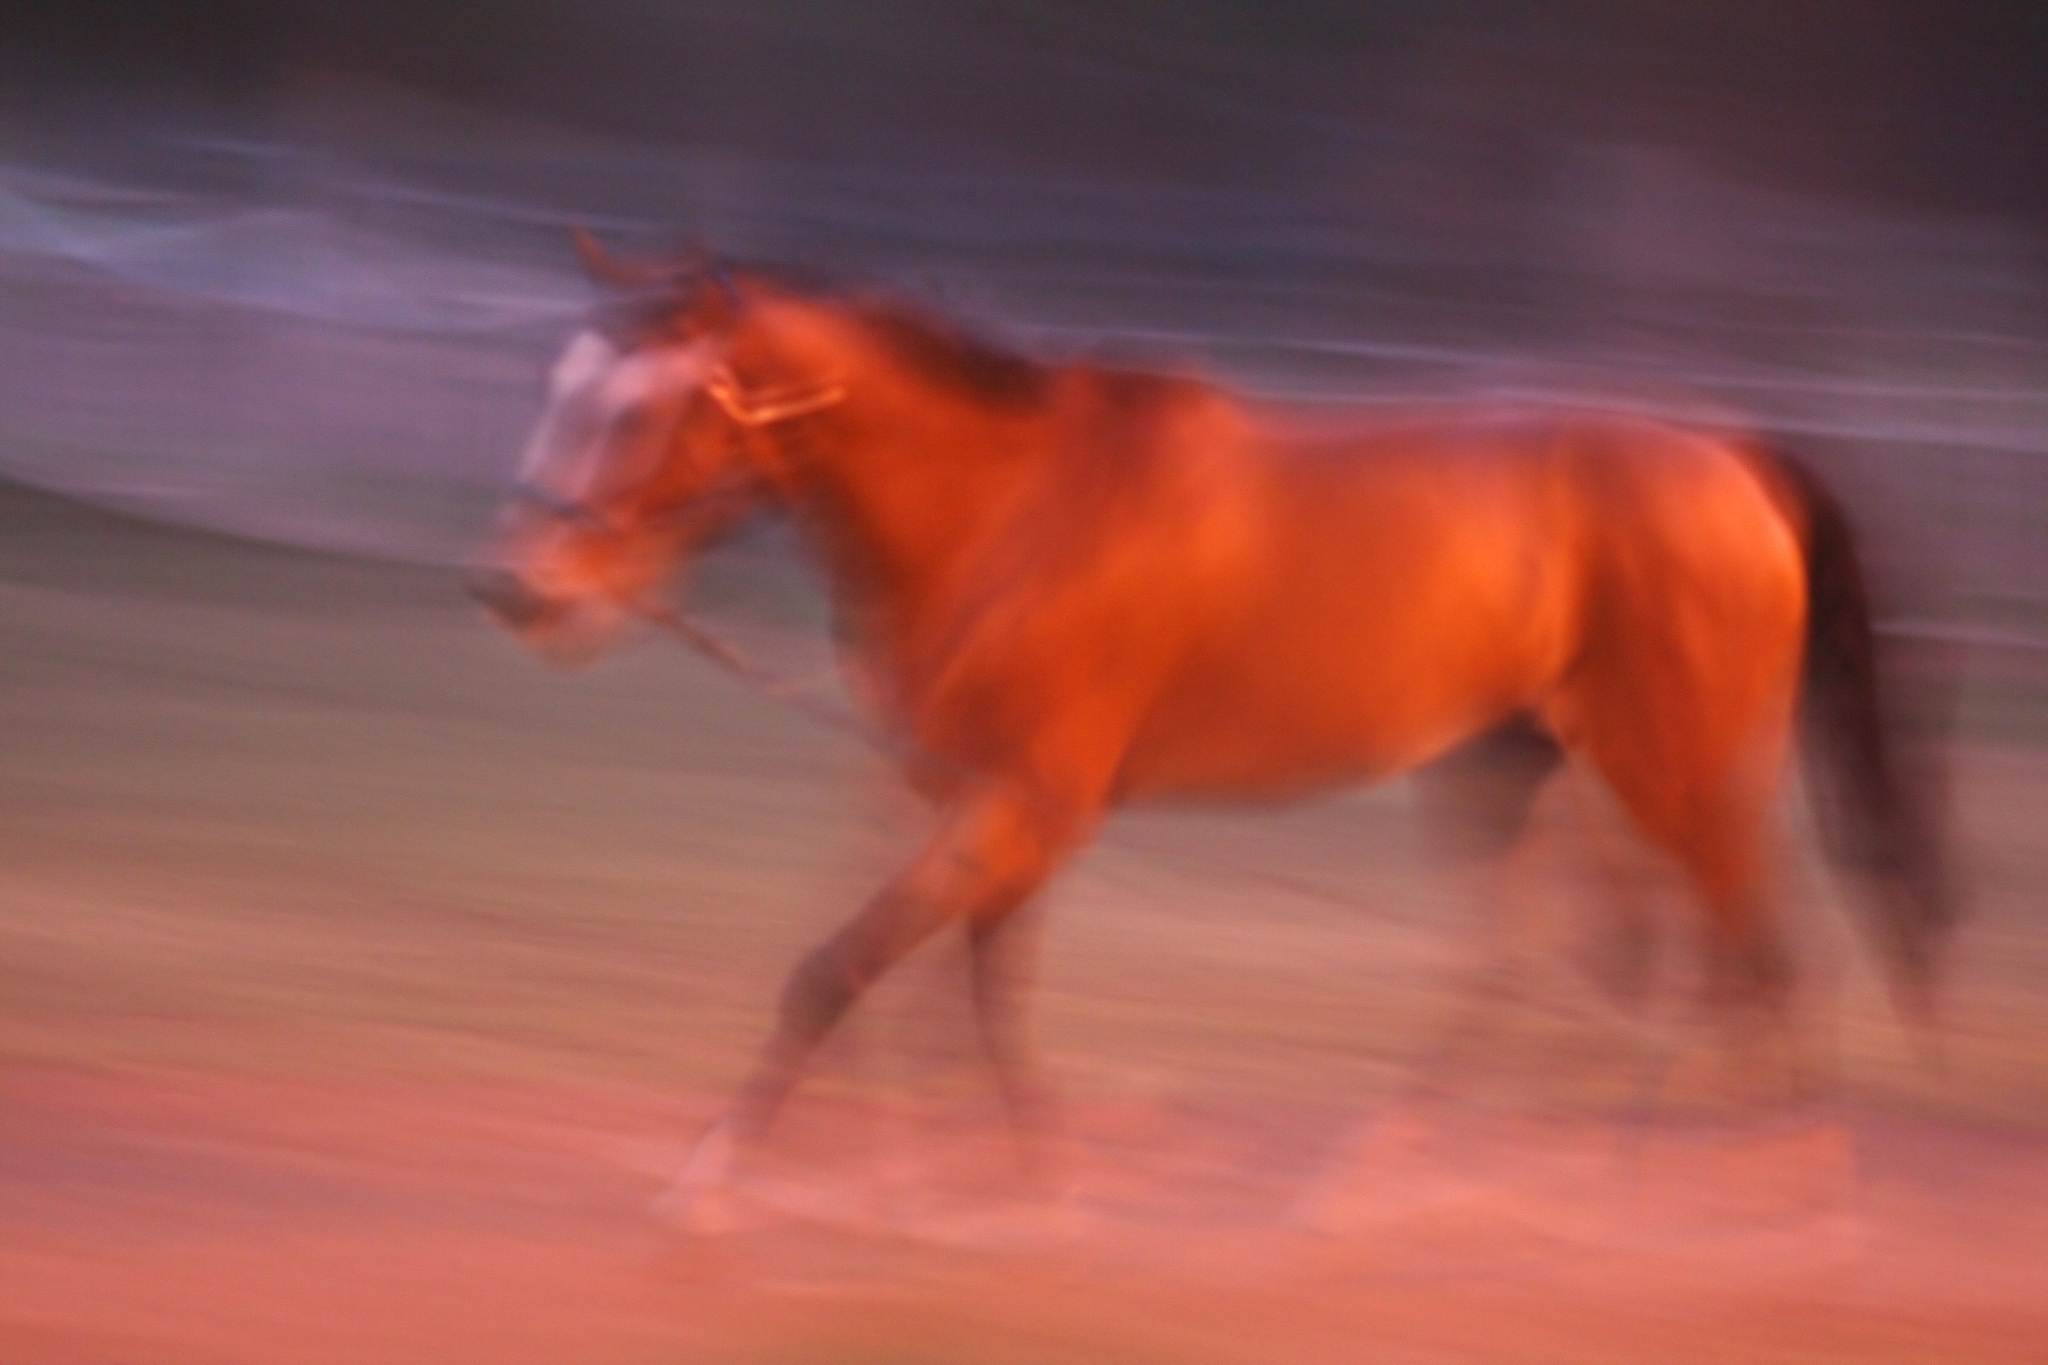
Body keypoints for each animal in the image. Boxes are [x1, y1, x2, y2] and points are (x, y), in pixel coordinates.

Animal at [470, 234, 1952, 1211]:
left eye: (645, 410)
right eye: (560, 385)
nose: (521, 590)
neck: (1003, 516)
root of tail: (1730, 463)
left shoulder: (1020, 803)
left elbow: (840, 968)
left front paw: (711, 1186)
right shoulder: (972, 797)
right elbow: (973, 989)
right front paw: (1005, 1185)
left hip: (1674, 773)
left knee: (1753, 958)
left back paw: (1771, 1202)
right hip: (1511, 767)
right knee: (1567, 964)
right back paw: (1422, 1177)